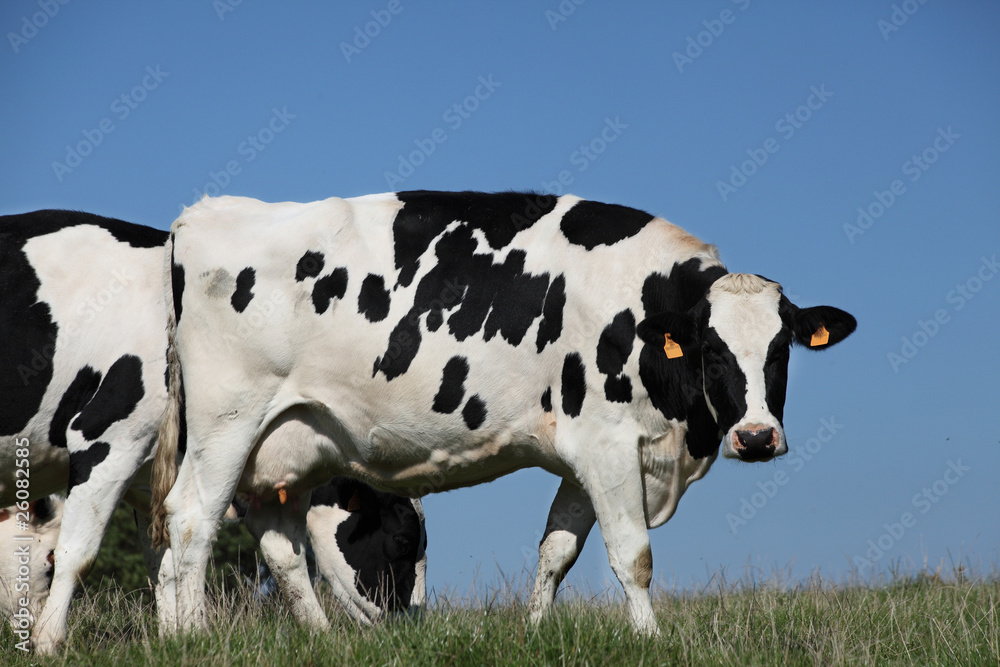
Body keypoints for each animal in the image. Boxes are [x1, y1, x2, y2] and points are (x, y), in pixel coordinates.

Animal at [0, 211, 426, 653]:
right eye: (403, 541)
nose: (410, 625)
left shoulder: (150, 478)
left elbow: (163, 566)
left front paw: (173, 639)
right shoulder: (105, 436)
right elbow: (77, 551)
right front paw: (48, 645)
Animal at [151, 190, 856, 636]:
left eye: (781, 349)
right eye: (712, 351)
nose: (757, 437)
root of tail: (201, 214)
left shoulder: (581, 457)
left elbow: (557, 551)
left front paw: (534, 630)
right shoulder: (607, 442)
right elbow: (633, 554)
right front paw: (652, 640)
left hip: (287, 446)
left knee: (280, 546)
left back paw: (311, 640)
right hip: (228, 422)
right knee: (191, 520)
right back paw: (193, 637)